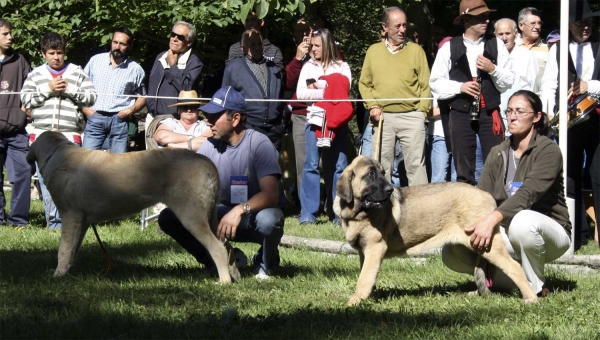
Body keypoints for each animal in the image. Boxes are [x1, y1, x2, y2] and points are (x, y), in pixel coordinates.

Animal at [27, 131, 239, 282]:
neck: (57, 153)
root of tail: (207, 162)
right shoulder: (82, 221)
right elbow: (73, 248)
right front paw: (67, 271)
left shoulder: (70, 216)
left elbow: (63, 249)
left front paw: (58, 274)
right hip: (210, 217)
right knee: (227, 246)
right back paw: (234, 275)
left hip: (191, 216)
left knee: (218, 248)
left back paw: (223, 282)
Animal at [332, 155, 540, 306]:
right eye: (371, 174)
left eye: (382, 173)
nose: (390, 190)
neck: (358, 213)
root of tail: (487, 196)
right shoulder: (364, 252)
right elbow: (367, 275)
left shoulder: (375, 249)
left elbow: (364, 278)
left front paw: (354, 302)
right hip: (468, 246)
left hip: (486, 244)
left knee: (514, 267)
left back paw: (531, 298)